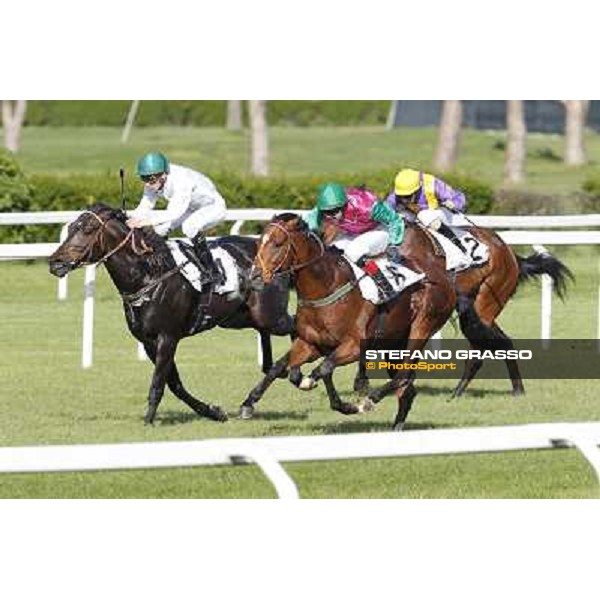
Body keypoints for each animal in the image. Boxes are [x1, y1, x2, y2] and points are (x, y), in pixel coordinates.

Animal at [48, 204, 294, 424]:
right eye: (71, 227)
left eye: (89, 228)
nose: (55, 262)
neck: (148, 275)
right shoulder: (149, 341)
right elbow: (174, 384)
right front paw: (212, 412)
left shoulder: (167, 337)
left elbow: (158, 382)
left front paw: (148, 421)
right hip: (239, 318)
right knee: (270, 334)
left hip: (270, 315)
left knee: (295, 326)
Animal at [239, 213, 454, 428]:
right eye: (258, 243)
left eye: (278, 243)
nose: (254, 277)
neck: (327, 286)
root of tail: (439, 273)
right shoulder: (310, 343)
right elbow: (278, 367)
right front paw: (248, 403)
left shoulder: (354, 346)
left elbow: (324, 368)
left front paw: (340, 400)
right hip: (393, 343)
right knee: (407, 389)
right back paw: (396, 426)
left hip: (422, 327)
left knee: (403, 375)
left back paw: (369, 400)